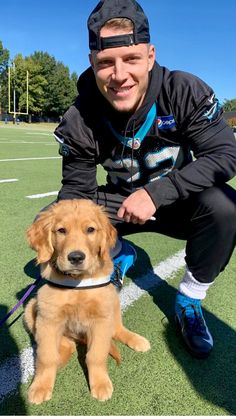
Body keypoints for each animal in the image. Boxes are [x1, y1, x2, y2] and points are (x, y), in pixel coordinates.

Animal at [23, 202, 149, 406]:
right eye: (61, 230)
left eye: (90, 230)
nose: (76, 257)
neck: (77, 284)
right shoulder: (48, 319)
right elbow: (46, 357)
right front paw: (41, 386)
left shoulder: (101, 319)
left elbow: (96, 355)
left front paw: (100, 383)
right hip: (31, 307)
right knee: (67, 345)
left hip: (113, 301)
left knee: (117, 329)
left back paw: (137, 340)